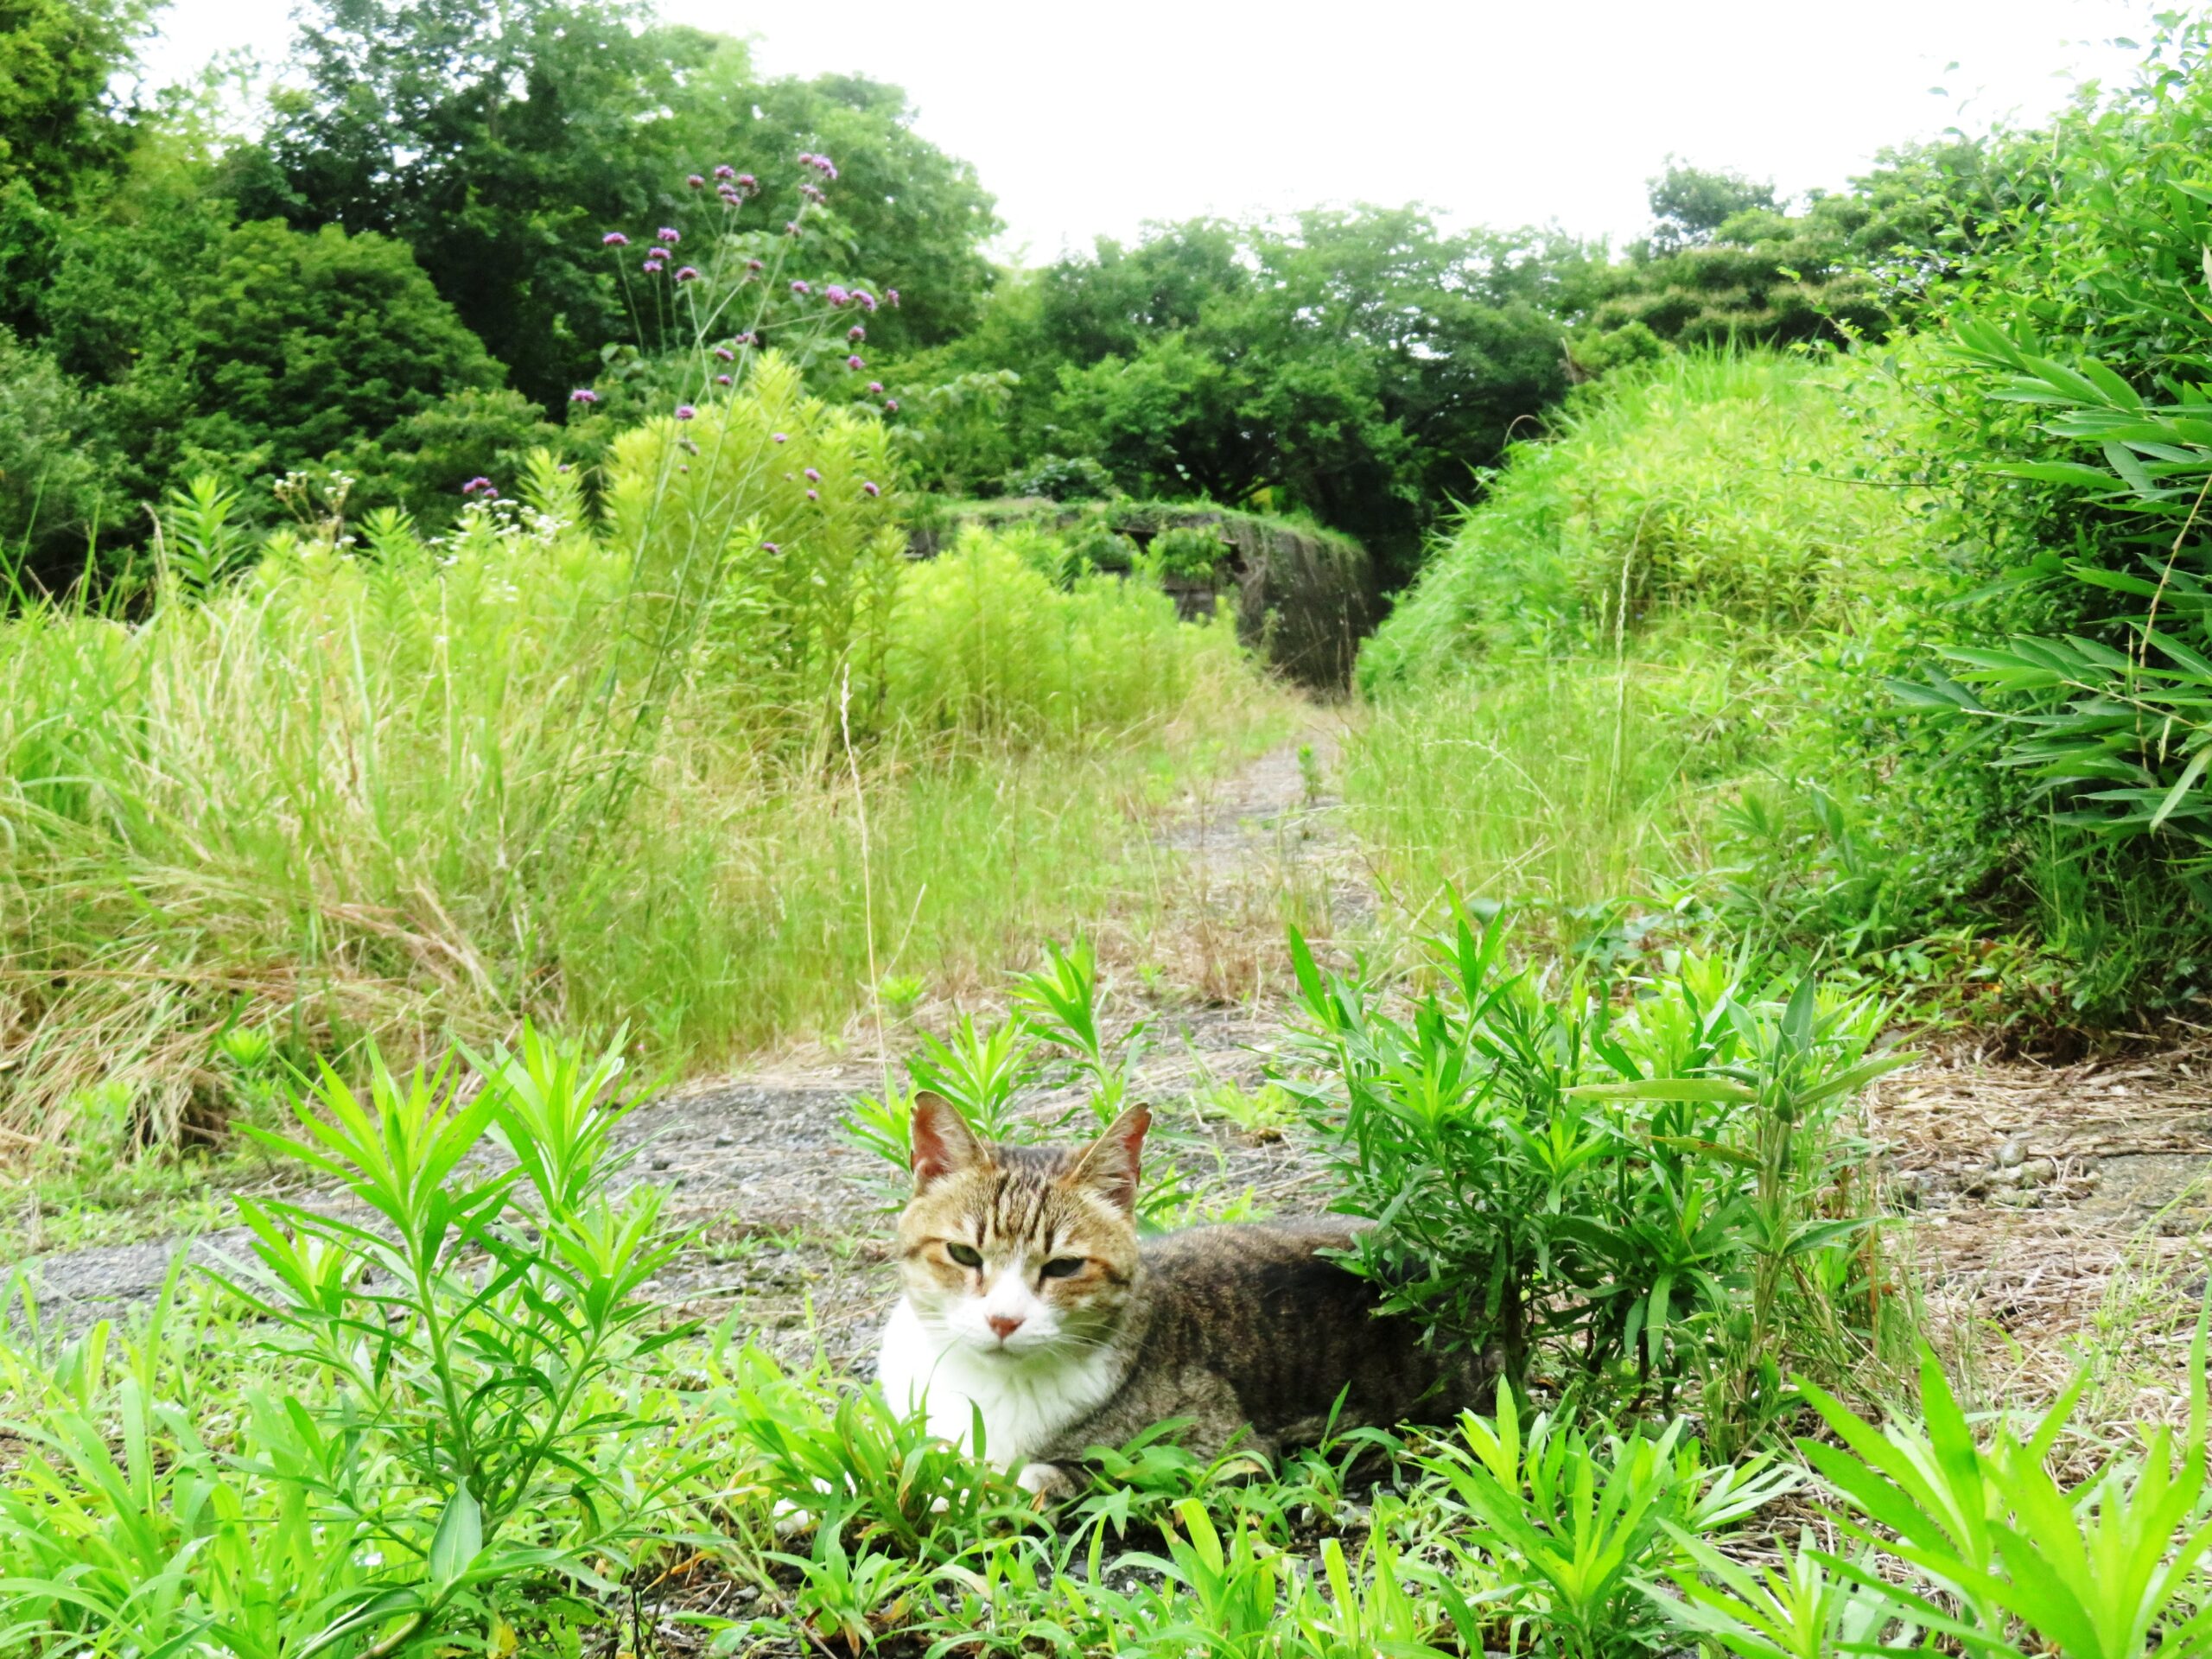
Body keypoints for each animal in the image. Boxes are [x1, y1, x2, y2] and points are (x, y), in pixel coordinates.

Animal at [871, 1096, 1495, 1503]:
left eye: (1064, 1267)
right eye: (964, 1255)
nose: (1004, 1320)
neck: (981, 1383)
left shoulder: (1224, 1450)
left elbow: (1036, 1475)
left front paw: (954, 1488)